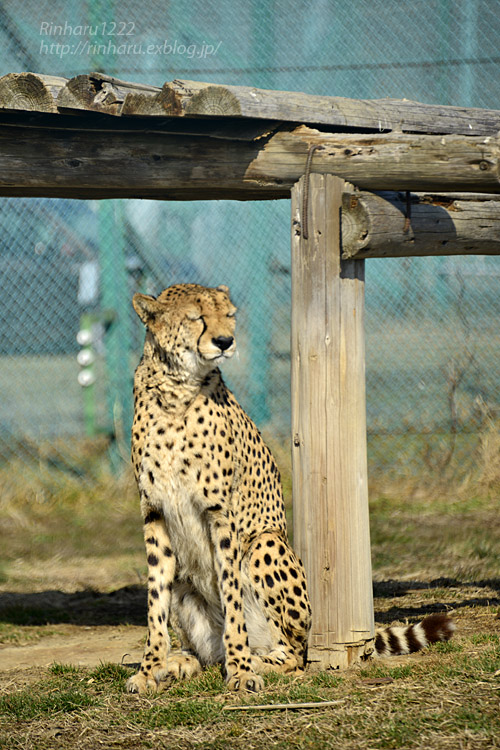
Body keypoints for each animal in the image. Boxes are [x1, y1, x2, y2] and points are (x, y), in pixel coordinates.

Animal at [127, 284, 456, 696]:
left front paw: (240, 671)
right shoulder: (154, 512)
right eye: (196, 317)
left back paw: (255, 661)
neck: (175, 391)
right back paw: (181, 662)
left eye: (229, 315)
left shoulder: (221, 513)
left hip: (265, 544)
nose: (225, 341)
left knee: (295, 655)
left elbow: (232, 598)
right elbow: (155, 599)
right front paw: (149, 668)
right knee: (205, 651)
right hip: (189, 583)